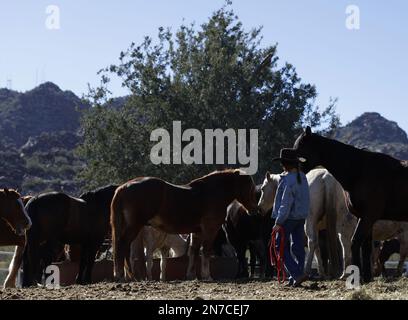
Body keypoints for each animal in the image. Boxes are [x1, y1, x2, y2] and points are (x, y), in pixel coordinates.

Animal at [111, 169, 258, 282]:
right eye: (249, 186)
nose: (254, 210)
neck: (211, 192)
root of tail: (123, 187)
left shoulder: (197, 232)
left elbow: (193, 251)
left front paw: (191, 275)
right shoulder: (210, 230)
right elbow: (205, 251)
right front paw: (207, 276)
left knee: (124, 248)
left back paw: (129, 276)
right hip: (134, 227)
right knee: (122, 245)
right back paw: (123, 275)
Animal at [294, 127, 408, 282]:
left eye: (300, 146)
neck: (360, 170)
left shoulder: (368, 217)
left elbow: (356, 243)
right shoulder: (366, 218)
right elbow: (365, 247)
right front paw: (366, 277)